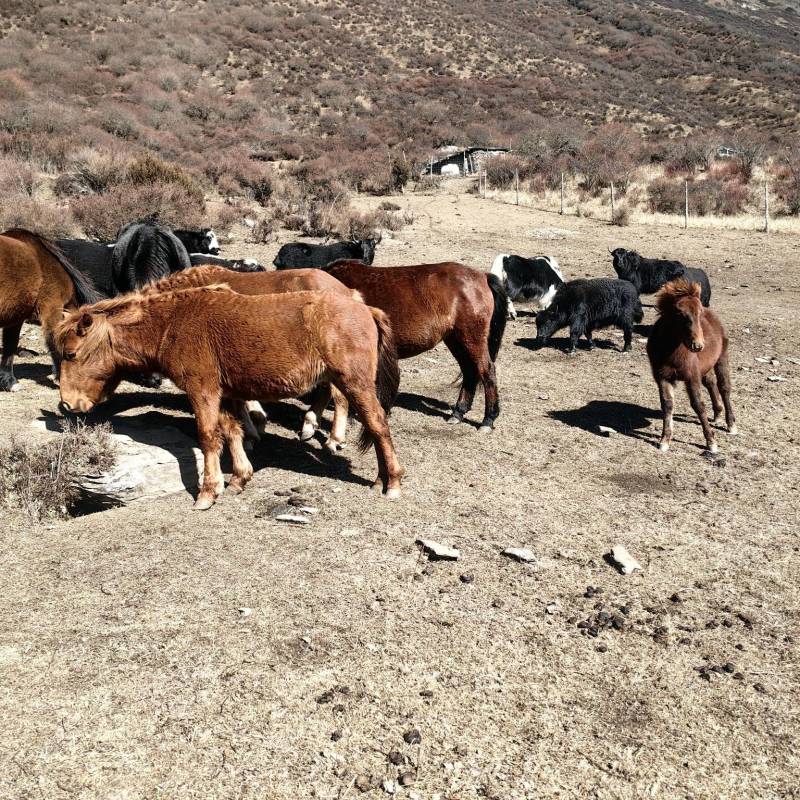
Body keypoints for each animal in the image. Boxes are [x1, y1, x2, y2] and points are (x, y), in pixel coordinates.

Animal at [56, 285, 403, 508]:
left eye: (71, 354)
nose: (67, 403)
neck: (173, 324)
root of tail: (365, 308)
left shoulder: (202, 392)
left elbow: (208, 437)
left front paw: (207, 493)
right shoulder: (223, 395)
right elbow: (232, 432)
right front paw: (239, 479)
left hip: (354, 384)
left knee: (378, 425)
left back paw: (393, 484)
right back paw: (380, 480)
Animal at [323, 259, 507, 432]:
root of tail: (482, 276)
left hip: (472, 338)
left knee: (486, 371)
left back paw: (488, 420)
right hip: (456, 340)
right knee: (469, 371)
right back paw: (458, 412)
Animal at [646, 280, 736, 453]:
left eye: (699, 313)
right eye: (680, 314)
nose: (698, 345)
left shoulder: (691, 376)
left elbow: (698, 405)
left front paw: (711, 442)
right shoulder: (662, 377)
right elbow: (667, 405)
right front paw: (665, 440)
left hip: (722, 358)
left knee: (724, 387)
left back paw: (731, 424)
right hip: (705, 366)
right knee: (710, 382)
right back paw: (717, 414)